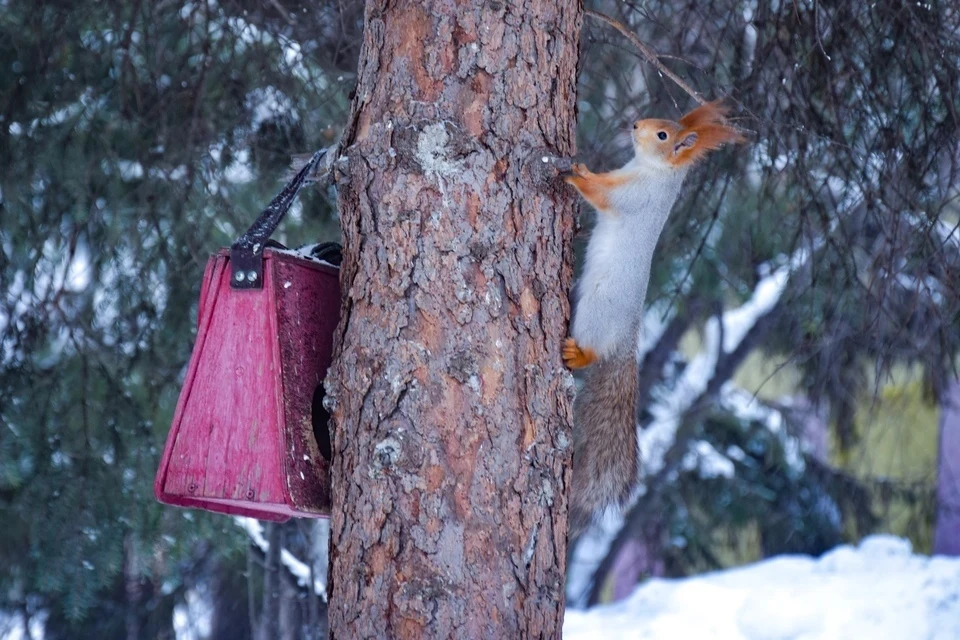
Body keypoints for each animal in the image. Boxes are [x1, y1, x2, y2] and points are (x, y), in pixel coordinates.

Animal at [564, 99, 744, 528]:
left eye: (663, 135)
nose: (634, 124)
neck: (647, 170)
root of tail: (626, 343)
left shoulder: (635, 197)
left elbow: (602, 195)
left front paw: (577, 175)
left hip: (598, 311)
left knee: (592, 351)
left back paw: (578, 354)